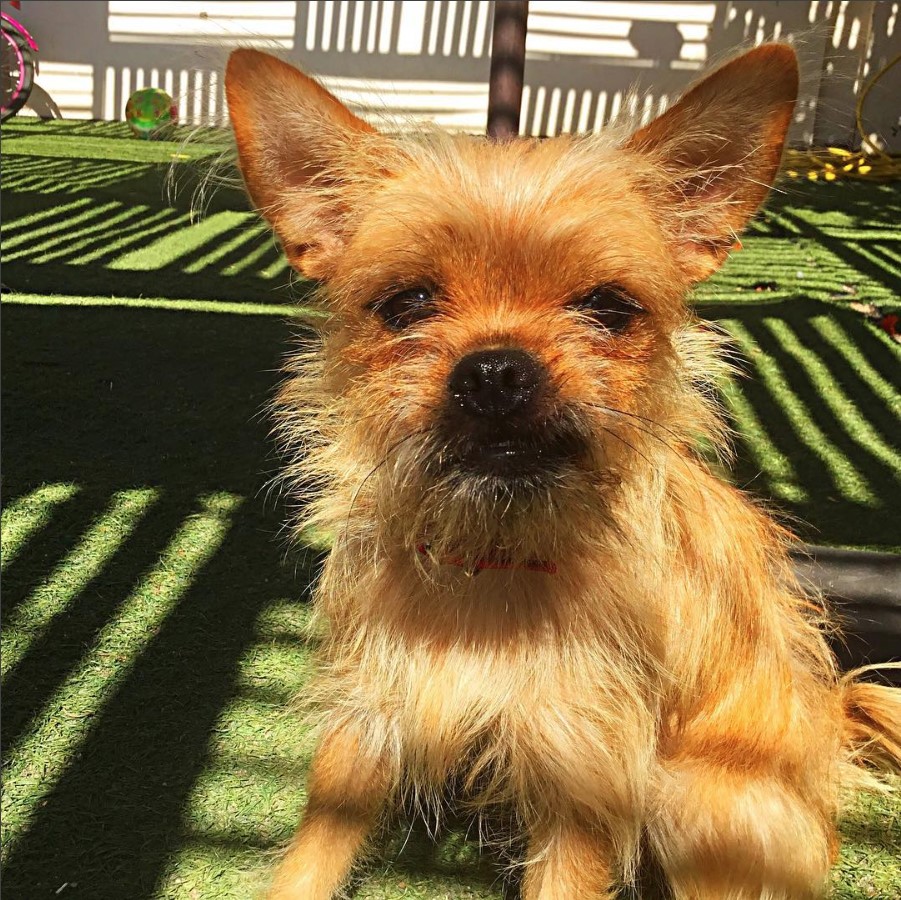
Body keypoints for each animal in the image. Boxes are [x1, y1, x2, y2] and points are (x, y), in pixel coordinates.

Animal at [225, 44, 900, 900]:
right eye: (405, 304)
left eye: (609, 307)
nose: (494, 371)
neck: (494, 559)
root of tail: (826, 719)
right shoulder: (367, 718)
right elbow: (311, 858)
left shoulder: (577, 769)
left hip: (698, 802)